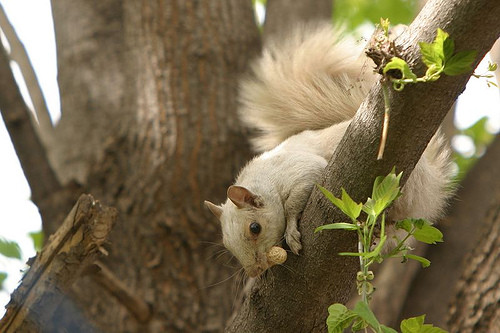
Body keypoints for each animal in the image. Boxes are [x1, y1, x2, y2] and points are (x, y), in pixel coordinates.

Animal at [203, 24, 454, 278]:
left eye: (255, 228)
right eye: (227, 245)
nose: (255, 271)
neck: (267, 178)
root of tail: (429, 185)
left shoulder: (303, 171)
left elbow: (293, 203)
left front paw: (291, 233)